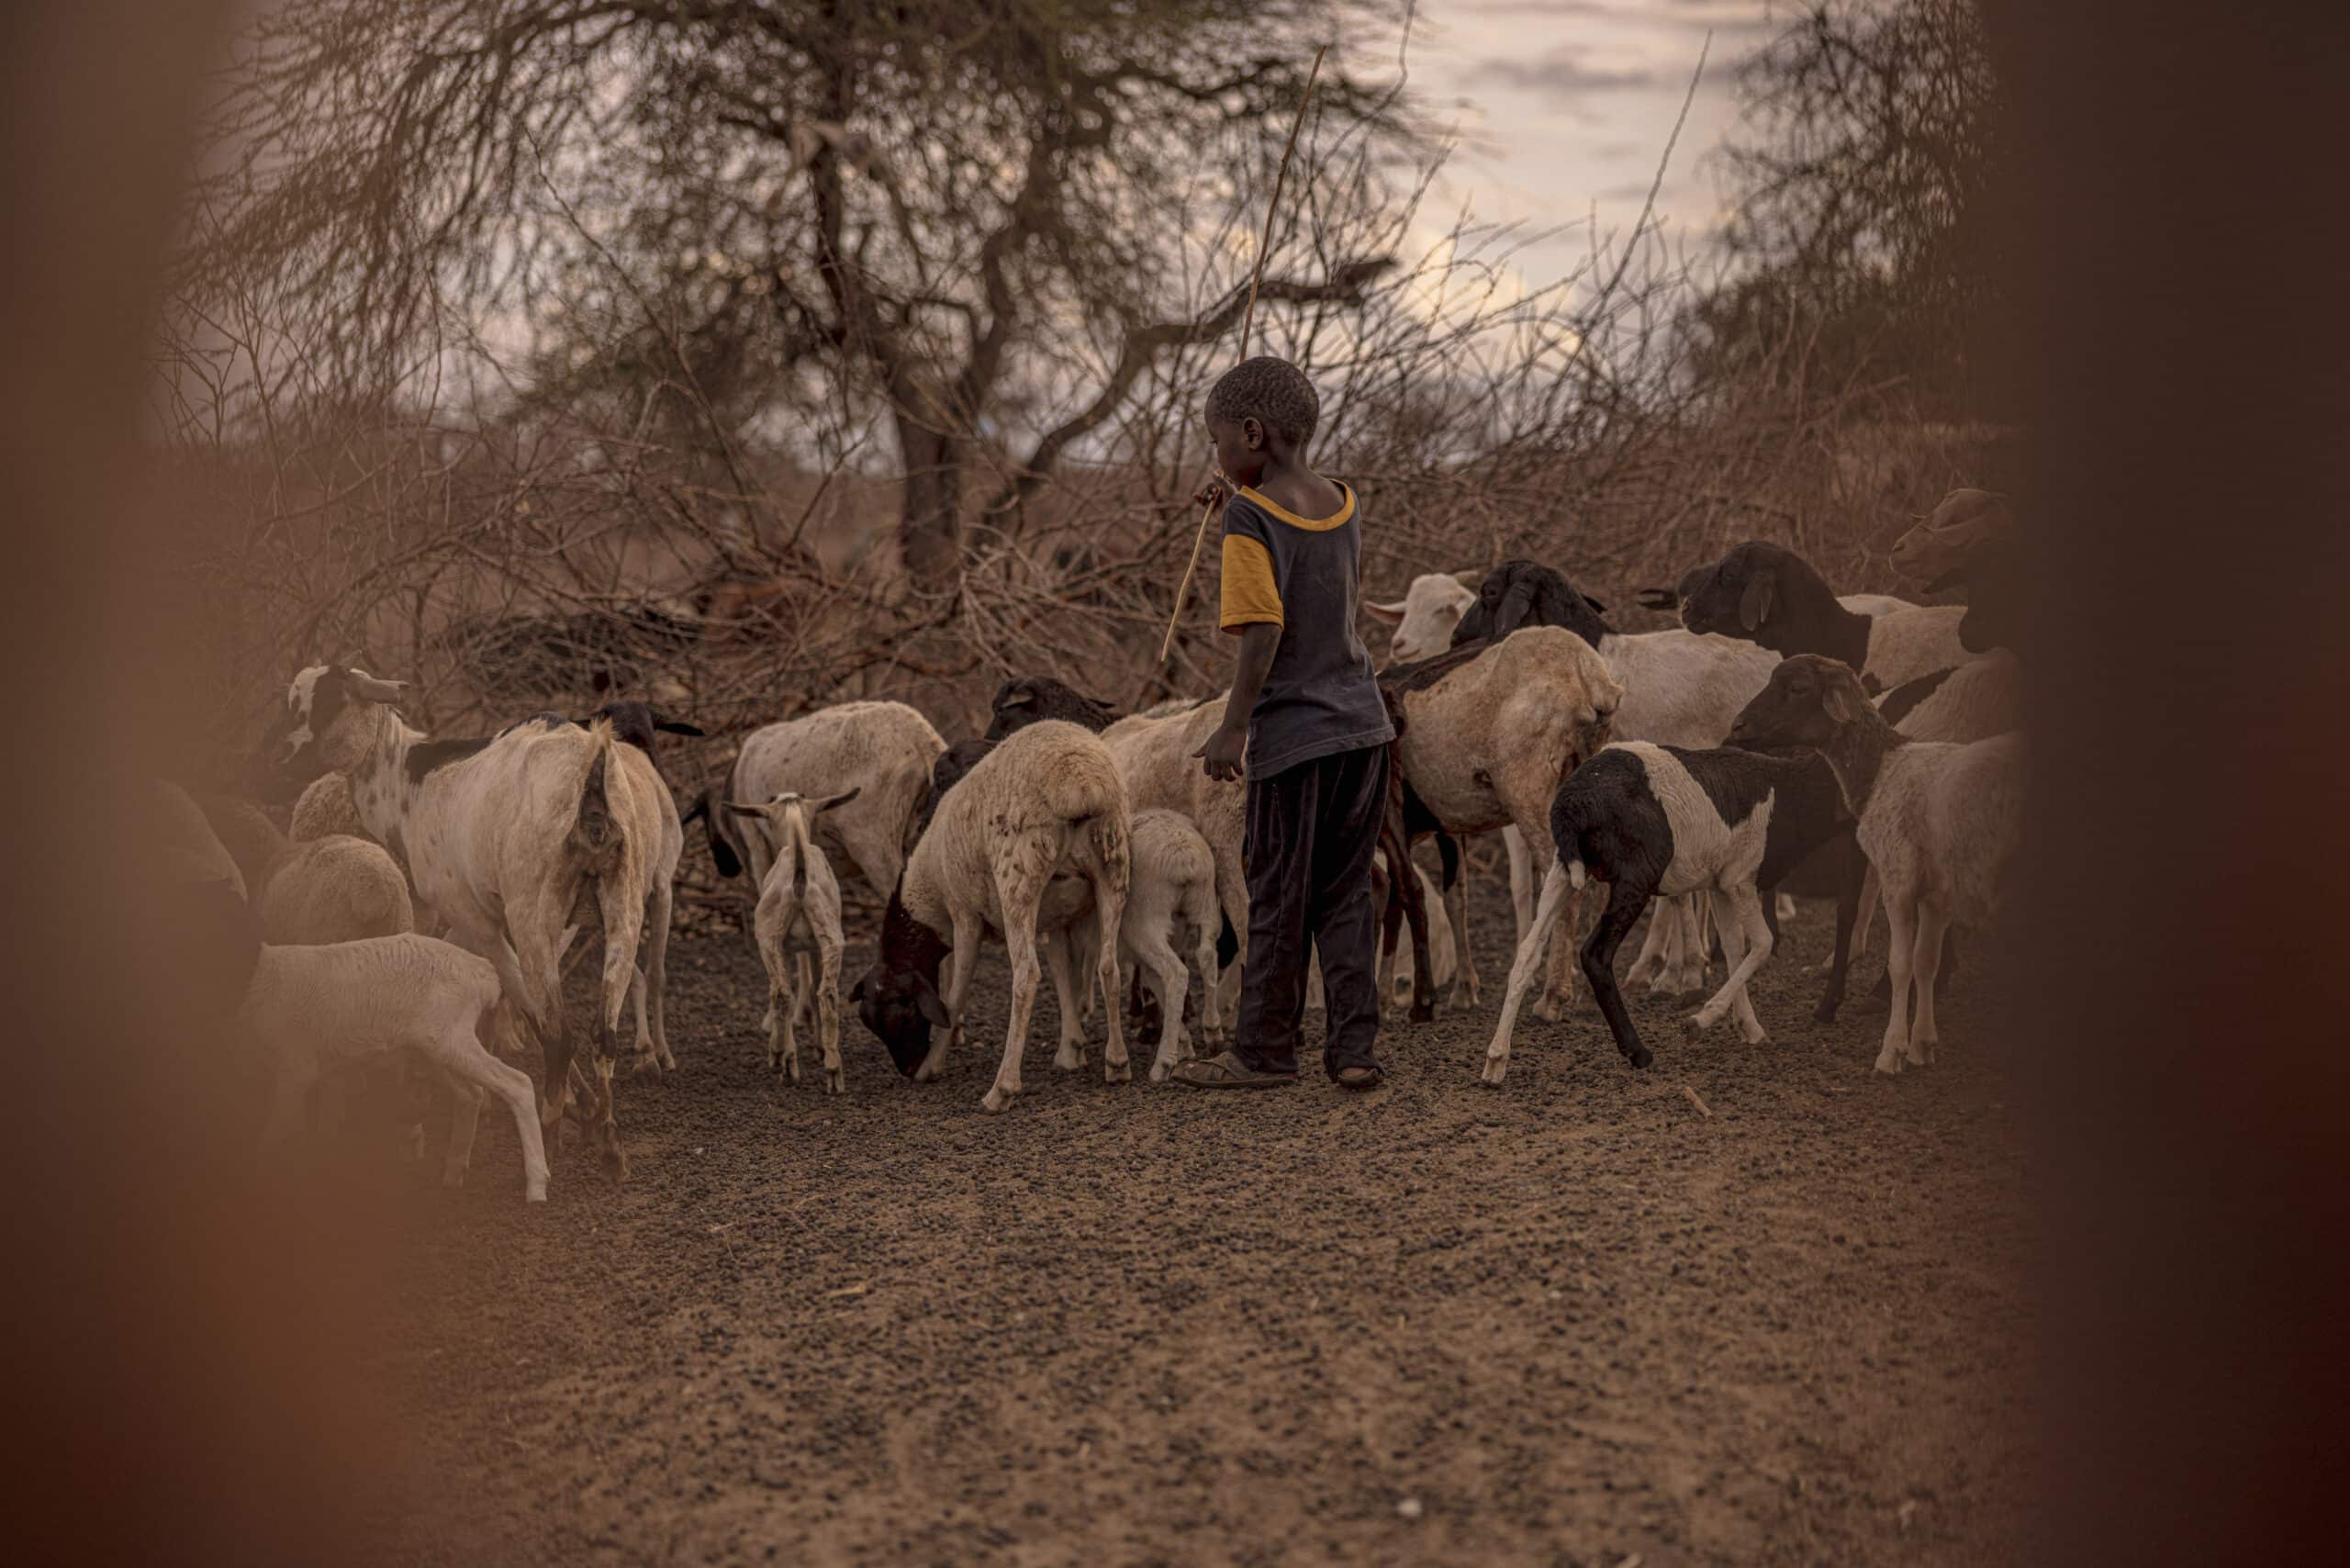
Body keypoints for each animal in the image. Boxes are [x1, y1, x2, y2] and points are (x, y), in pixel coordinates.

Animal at [850, 719, 1132, 1109]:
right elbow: (1064, 973)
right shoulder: (1059, 914)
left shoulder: (964, 915)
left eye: (905, 1013)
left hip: (1018, 878)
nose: (907, 1069)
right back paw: (1118, 1063)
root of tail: (1081, 783)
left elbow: (955, 995)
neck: (928, 893)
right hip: (1113, 867)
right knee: (1109, 967)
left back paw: (1002, 1089)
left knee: (1026, 976)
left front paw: (933, 1065)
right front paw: (1071, 1049)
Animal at [1484, 743, 1852, 1086]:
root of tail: (1572, 805)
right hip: (1636, 876)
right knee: (1595, 954)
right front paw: (1700, 1021)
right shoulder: (1740, 878)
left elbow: (1735, 949)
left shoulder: (1721, 885)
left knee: (1528, 951)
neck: (1792, 792)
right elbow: (1762, 944)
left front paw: (1749, 1027)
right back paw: (1638, 1052)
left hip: (1563, 868)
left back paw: (1496, 1059)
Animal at [1729, 653, 2020, 1081]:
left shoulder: (1898, 879)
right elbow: (1925, 962)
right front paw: (1922, 1045)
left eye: (1798, 688)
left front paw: (1891, 1052)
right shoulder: (1936, 894)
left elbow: (1900, 964)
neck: (1883, 767)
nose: (1737, 726)